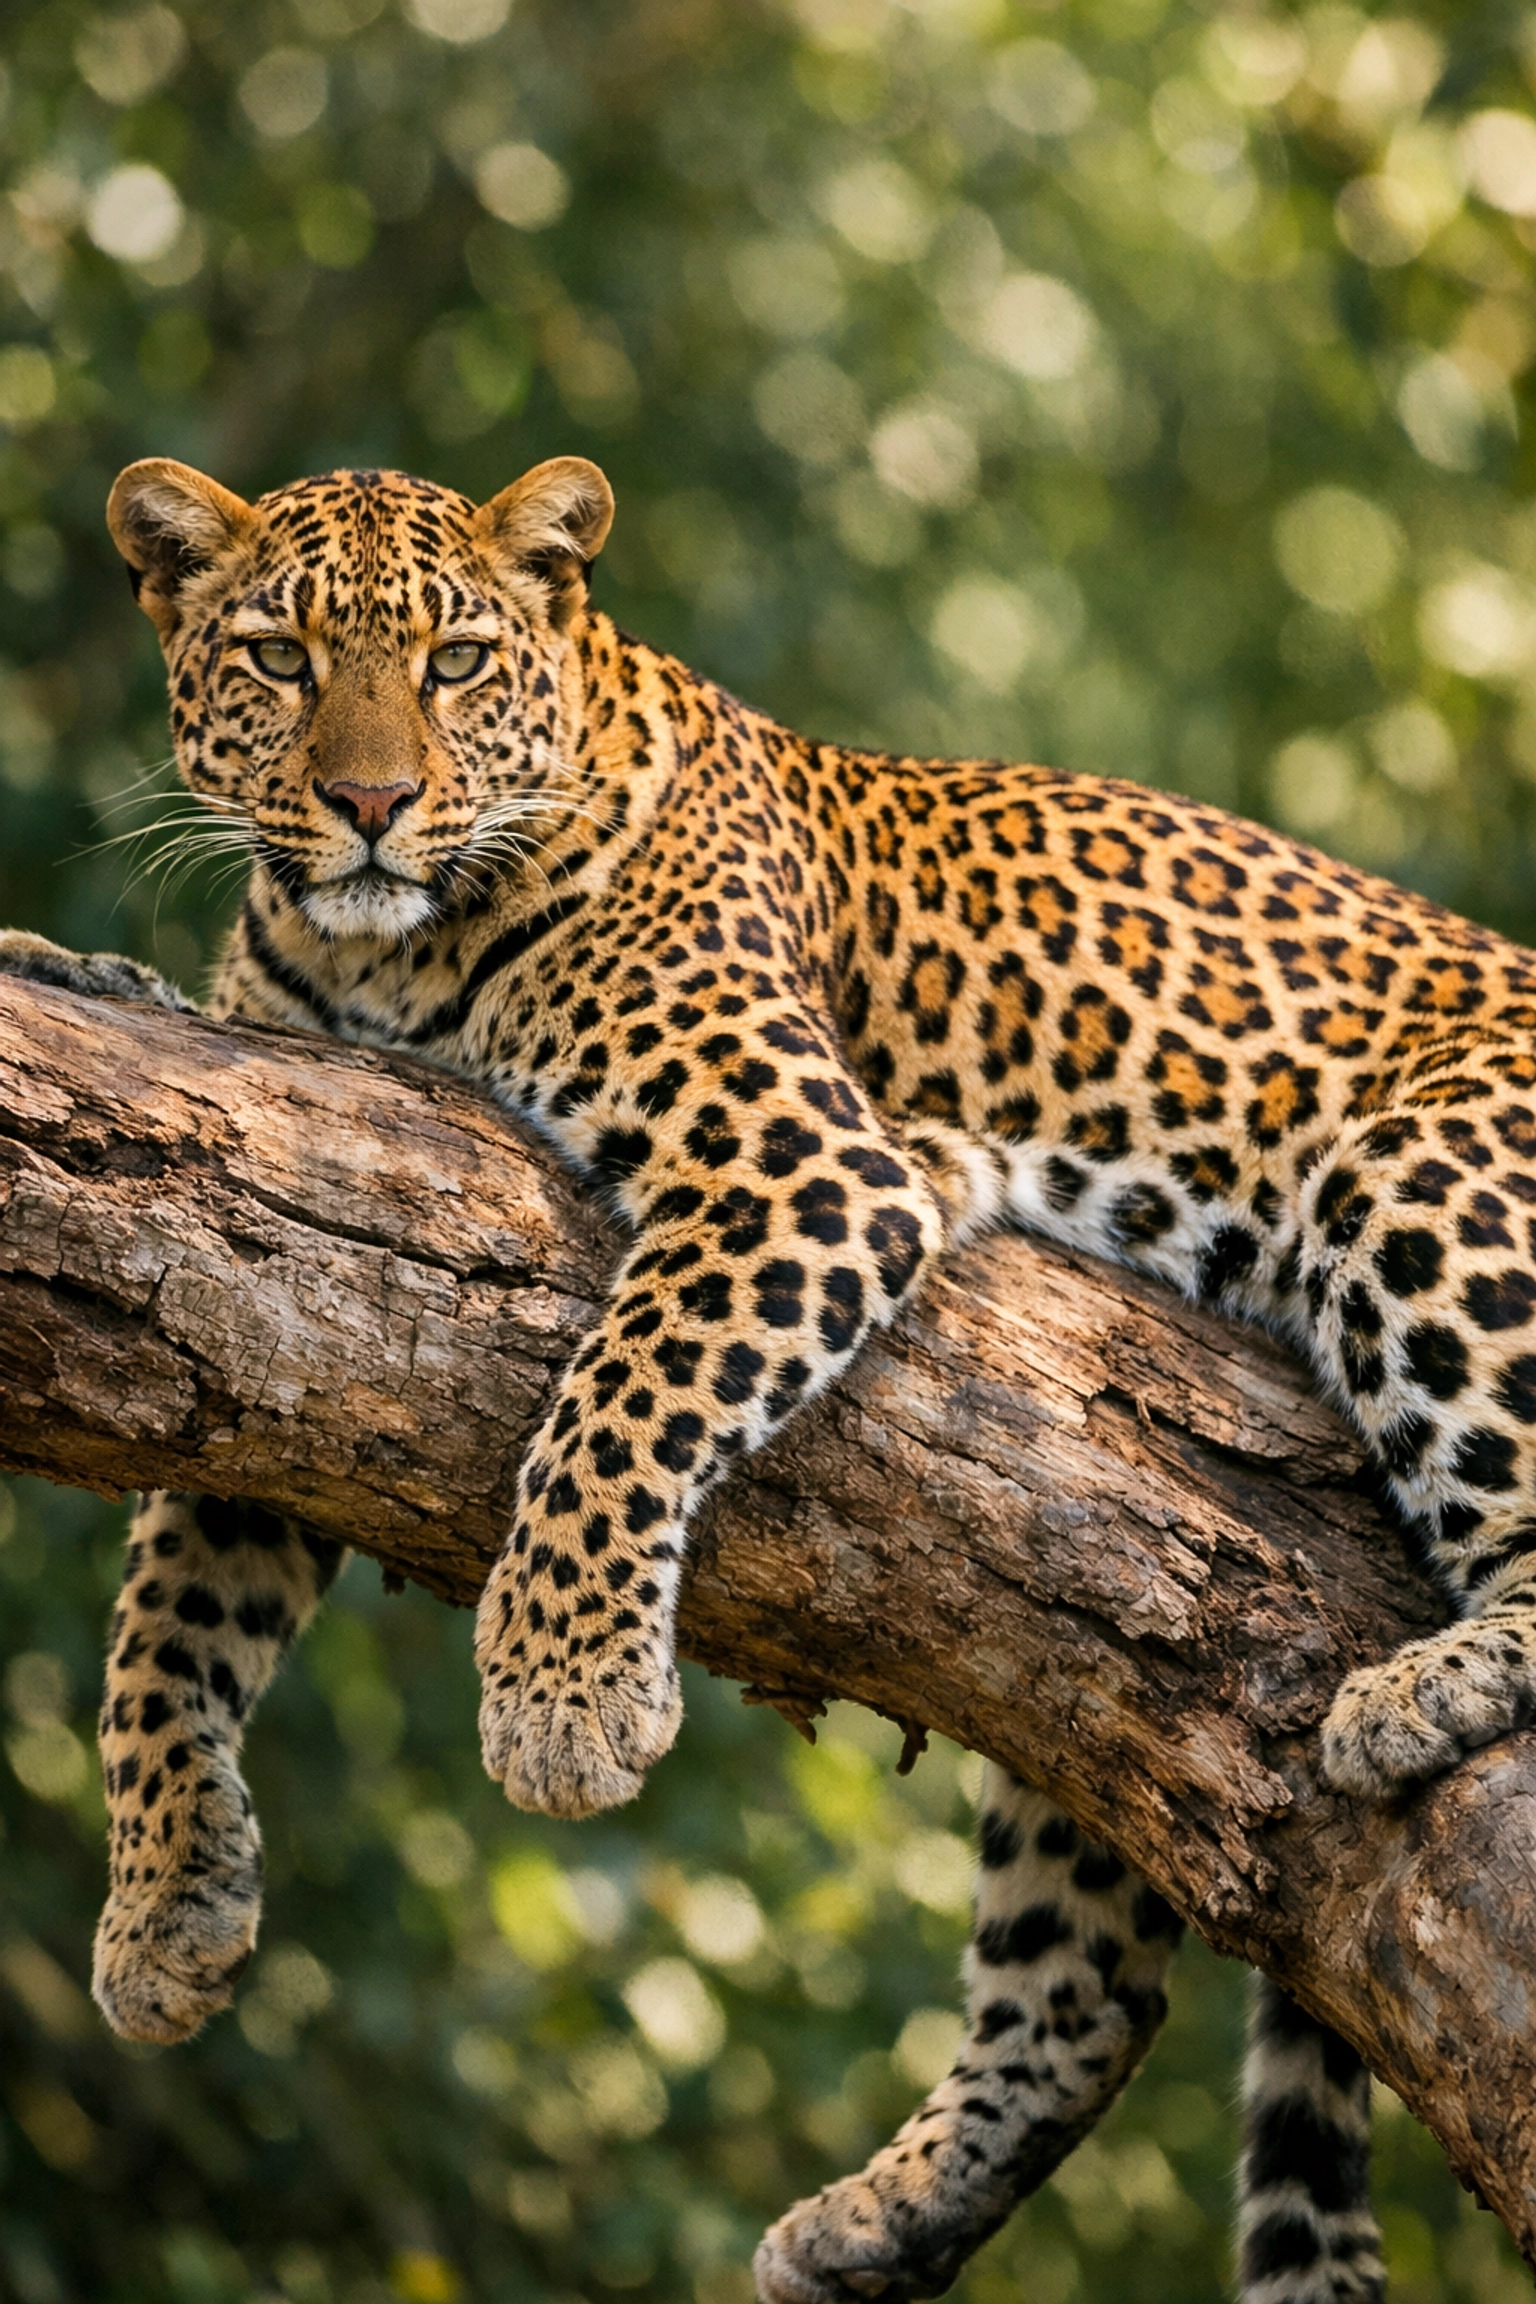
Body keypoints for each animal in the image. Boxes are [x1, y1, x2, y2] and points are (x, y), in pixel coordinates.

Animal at [9, 450, 1536, 2304]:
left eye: (453, 661)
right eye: (281, 660)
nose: (371, 801)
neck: (380, 958)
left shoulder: (807, 1166)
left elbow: (618, 1398)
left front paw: (565, 1700)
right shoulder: (271, 1292)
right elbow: (161, 1619)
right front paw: (164, 1901)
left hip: (1421, 1171)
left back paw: (1423, 1689)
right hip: (1094, 1668)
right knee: (1088, 1975)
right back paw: (875, 2220)